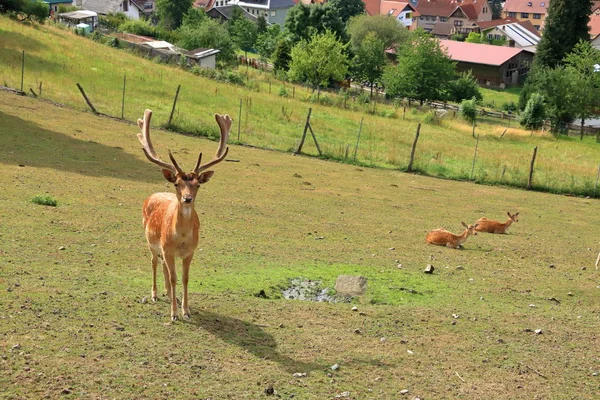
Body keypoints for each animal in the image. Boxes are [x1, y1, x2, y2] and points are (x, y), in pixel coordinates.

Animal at [136, 109, 230, 322]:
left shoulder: (190, 251)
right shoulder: (167, 248)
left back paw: (170, 294)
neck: (181, 238)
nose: (187, 199)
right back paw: (155, 294)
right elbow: (174, 278)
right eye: (177, 183)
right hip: (150, 241)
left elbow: (185, 279)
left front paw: (186, 310)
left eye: (198, 184)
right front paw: (173, 314)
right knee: (154, 262)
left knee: (163, 265)